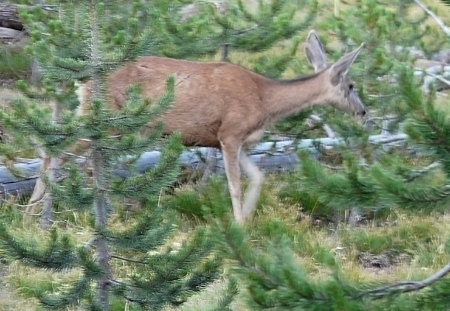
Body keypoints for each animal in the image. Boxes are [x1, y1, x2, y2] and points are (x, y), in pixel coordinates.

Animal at [29, 31, 366, 224]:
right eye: (351, 85)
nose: (363, 111)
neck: (265, 100)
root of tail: (83, 78)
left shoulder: (237, 141)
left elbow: (259, 177)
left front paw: (247, 222)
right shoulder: (230, 133)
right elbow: (234, 186)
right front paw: (238, 226)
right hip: (105, 119)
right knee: (54, 146)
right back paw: (34, 212)